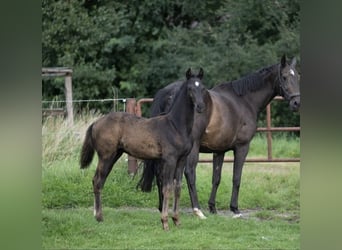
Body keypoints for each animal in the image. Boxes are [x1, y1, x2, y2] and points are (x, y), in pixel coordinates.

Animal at [81, 68, 207, 230]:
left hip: (114, 155)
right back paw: (99, 217)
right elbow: (167, 188)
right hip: (106, 155)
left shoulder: (181, 160)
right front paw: (165, 222)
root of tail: (96, 123)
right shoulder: (170, 159)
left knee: (99, 180)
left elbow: (178, 188)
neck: (175, 126)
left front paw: (177, 220)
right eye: (190, 88)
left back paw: (97, 215)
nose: (200, 107)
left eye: (202, 88)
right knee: (97, 181)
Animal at [138, 55, 300, 219]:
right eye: (284, 77)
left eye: (298, 77)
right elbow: (236, 177)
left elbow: (216, 178)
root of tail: (168, 93)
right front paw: (235, 209)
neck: (245, 101)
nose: (296, 102)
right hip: (192, 148)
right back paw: (197, 210)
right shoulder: (242, 147)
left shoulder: (219, 150)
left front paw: (213, 207)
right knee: (189, 172)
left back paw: (162, 207)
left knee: (160, 174)